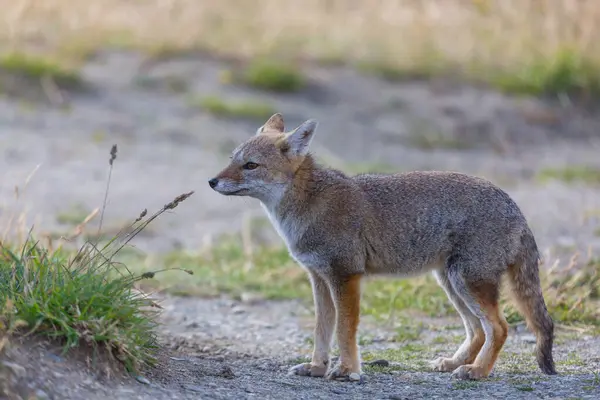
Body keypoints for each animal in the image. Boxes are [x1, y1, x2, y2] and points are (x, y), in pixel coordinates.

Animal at [209, 112, 556, 382]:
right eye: (232, 160)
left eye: (250, 165)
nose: (211, 181)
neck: (309, 204)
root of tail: (514, 205)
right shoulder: (319, 278)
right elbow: (322, 330)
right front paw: (317, 367)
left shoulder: (345, 275)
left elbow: (344, 330)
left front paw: (347, 370)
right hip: (451, 283)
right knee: (478, 330)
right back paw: (456, 363)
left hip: (467, 282)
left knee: (499, 328)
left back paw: (478, 371)